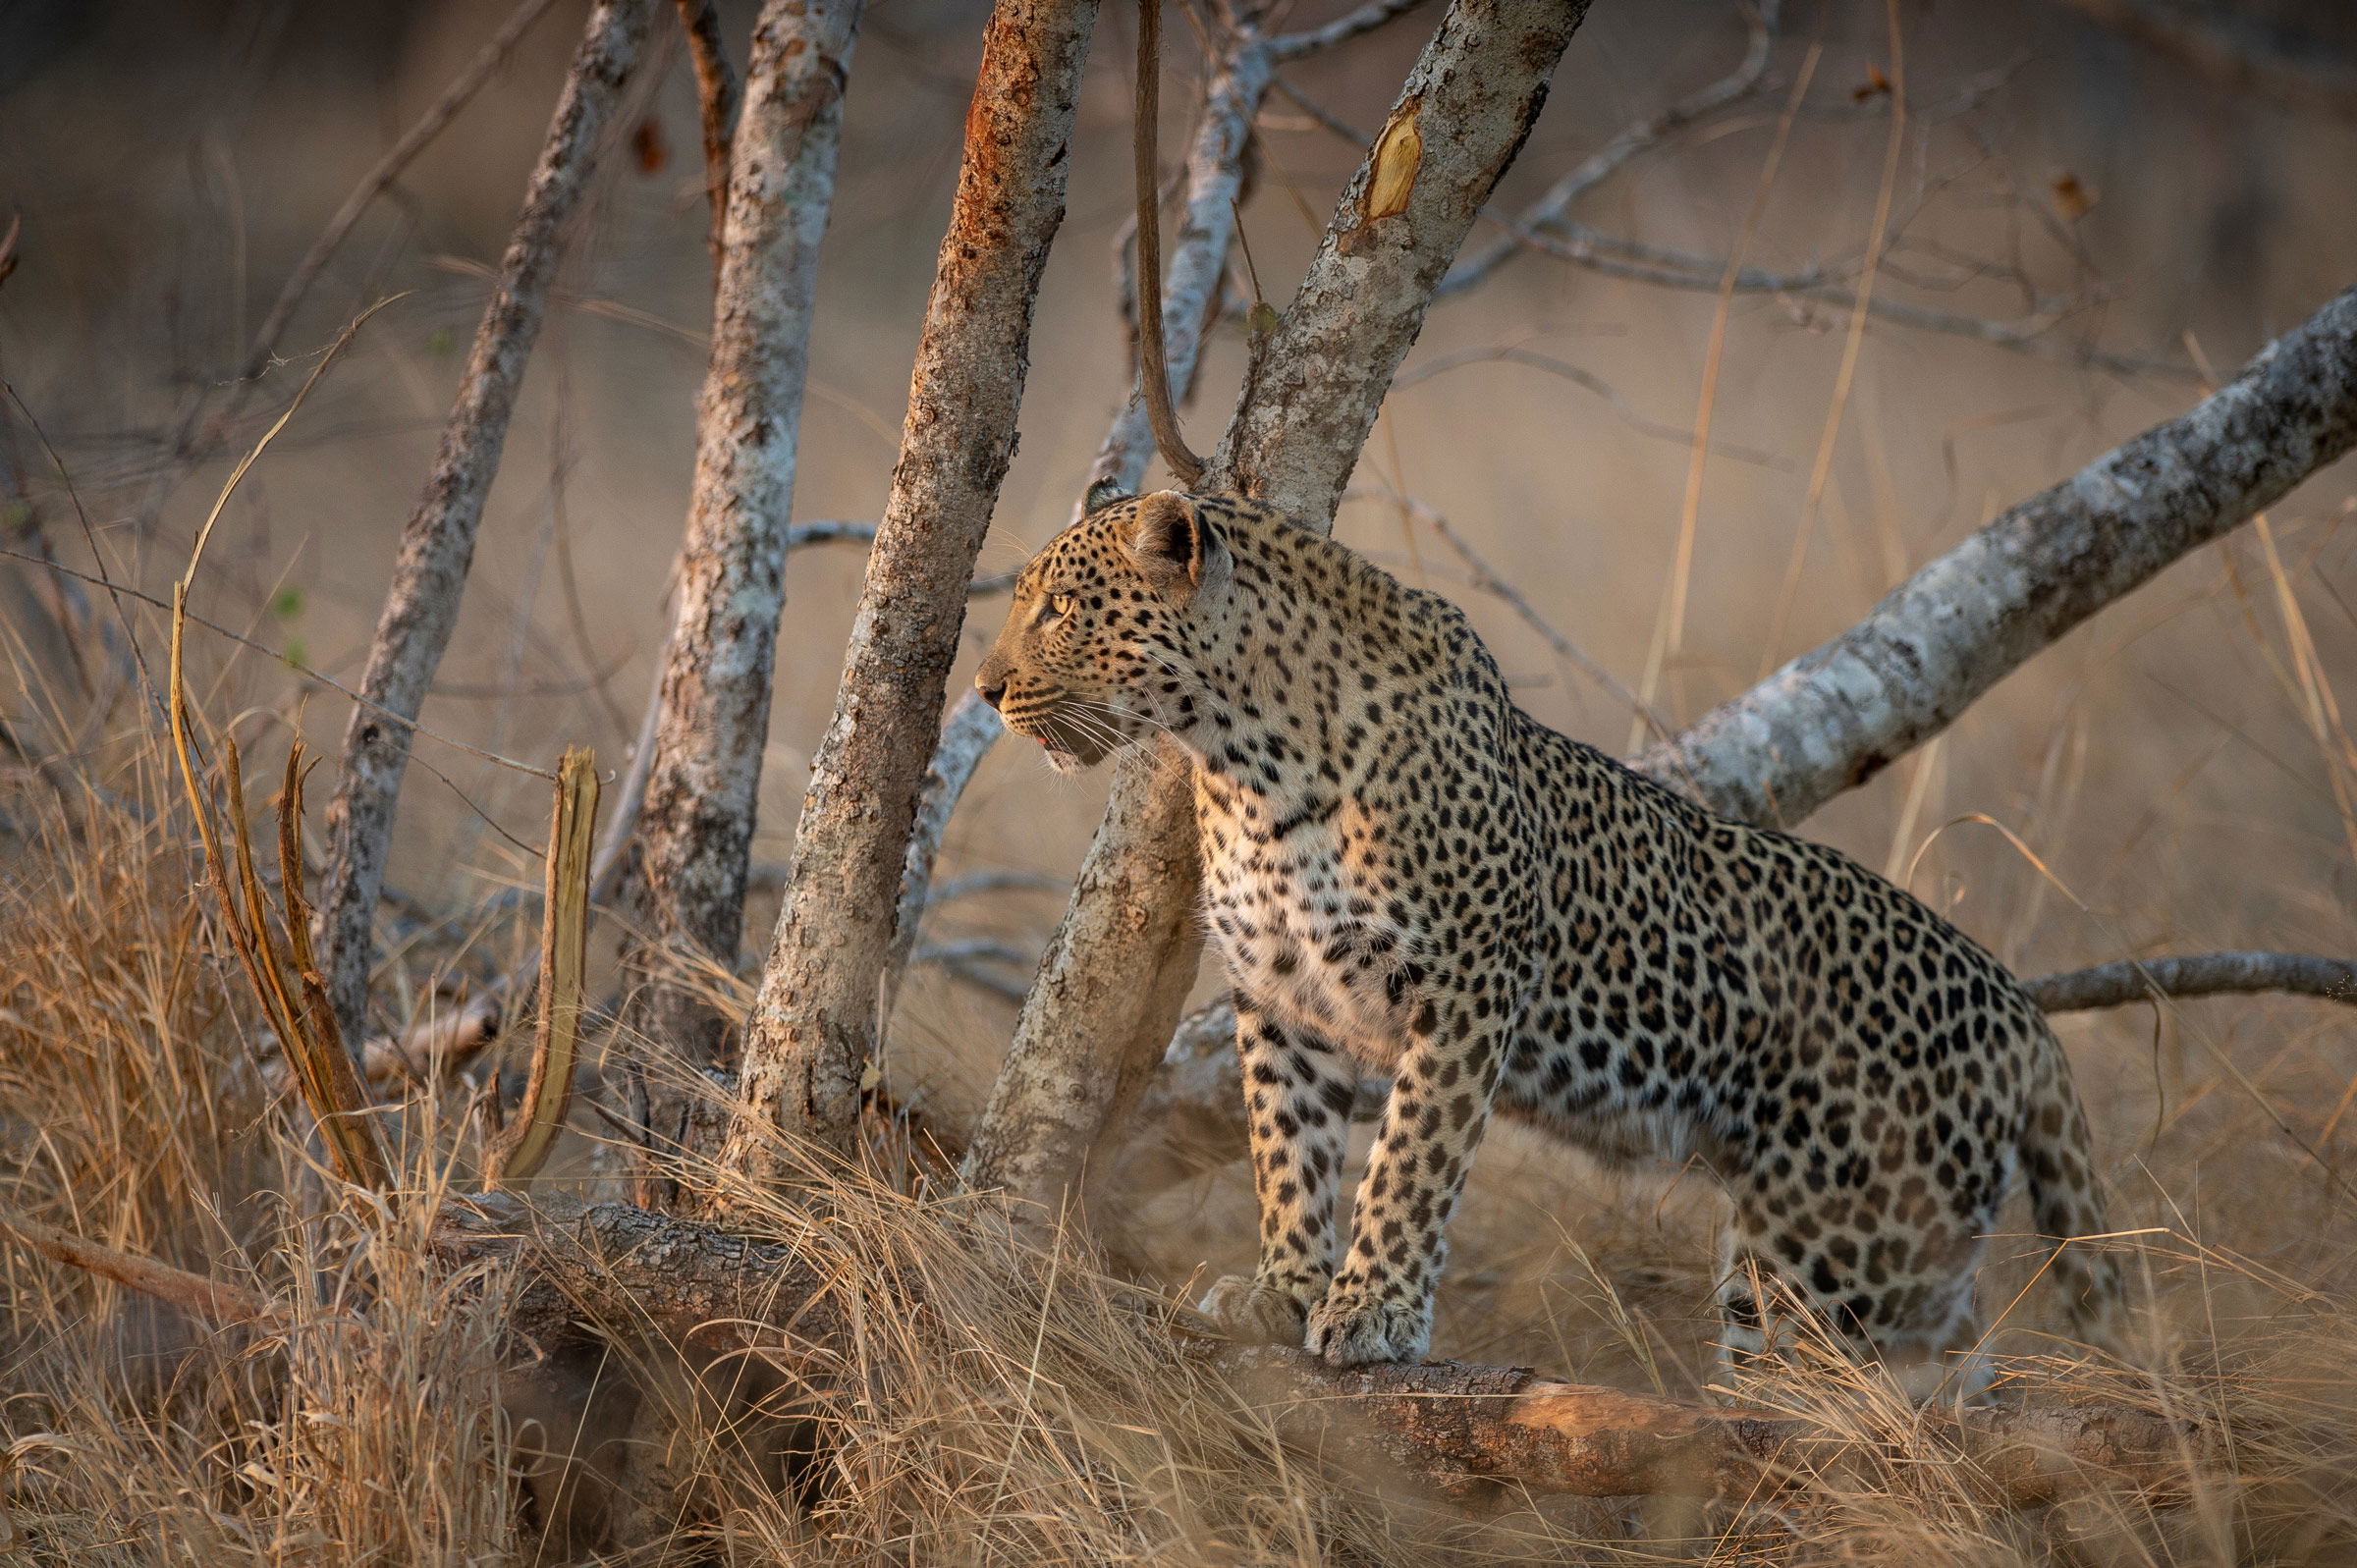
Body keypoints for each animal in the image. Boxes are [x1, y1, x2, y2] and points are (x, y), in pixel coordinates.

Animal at [973, 487, 2124, 1398]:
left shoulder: (1467, 982)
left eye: (1060, 608)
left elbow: (1409, 1159)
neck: (1240, 757)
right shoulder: (1280, 994)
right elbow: (1287, 1154)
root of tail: (2022, 1011)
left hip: (1842, 1242)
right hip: (1843, 1257)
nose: (982, 690)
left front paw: (1373, 1309)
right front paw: (1283, 1289)